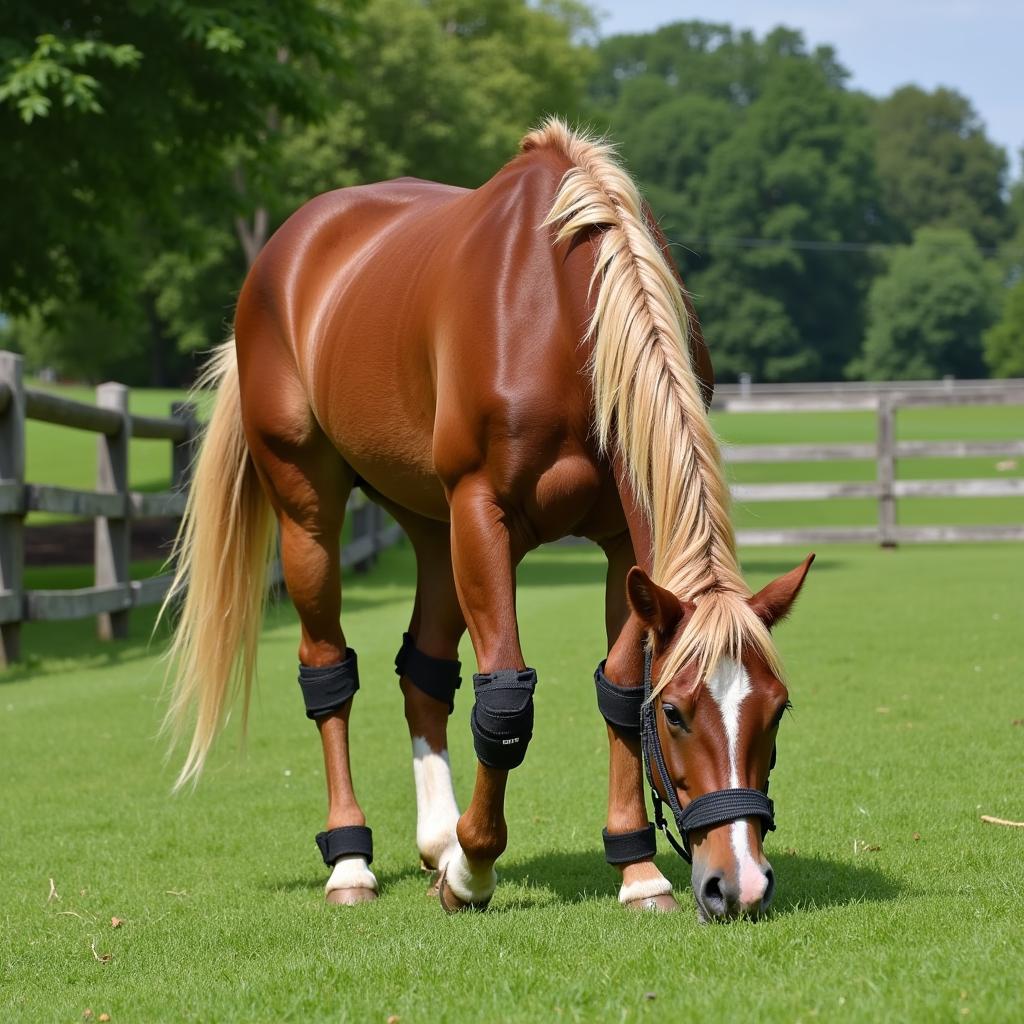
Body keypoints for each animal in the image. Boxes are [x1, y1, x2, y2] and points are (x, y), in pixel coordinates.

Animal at [163, 117, 811, 921]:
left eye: (777, 711)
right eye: (679, 714)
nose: (740, 883)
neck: (562, 310)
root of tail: (283, 251)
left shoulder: (622, 544)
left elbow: (617, 688)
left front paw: (637, 871)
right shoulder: (482, 514)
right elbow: (504, 701)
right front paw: (473, 870)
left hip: (431, 526)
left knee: (424, 673)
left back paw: (438, 836)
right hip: (310, 510)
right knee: (327, 670)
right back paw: (352, 860)